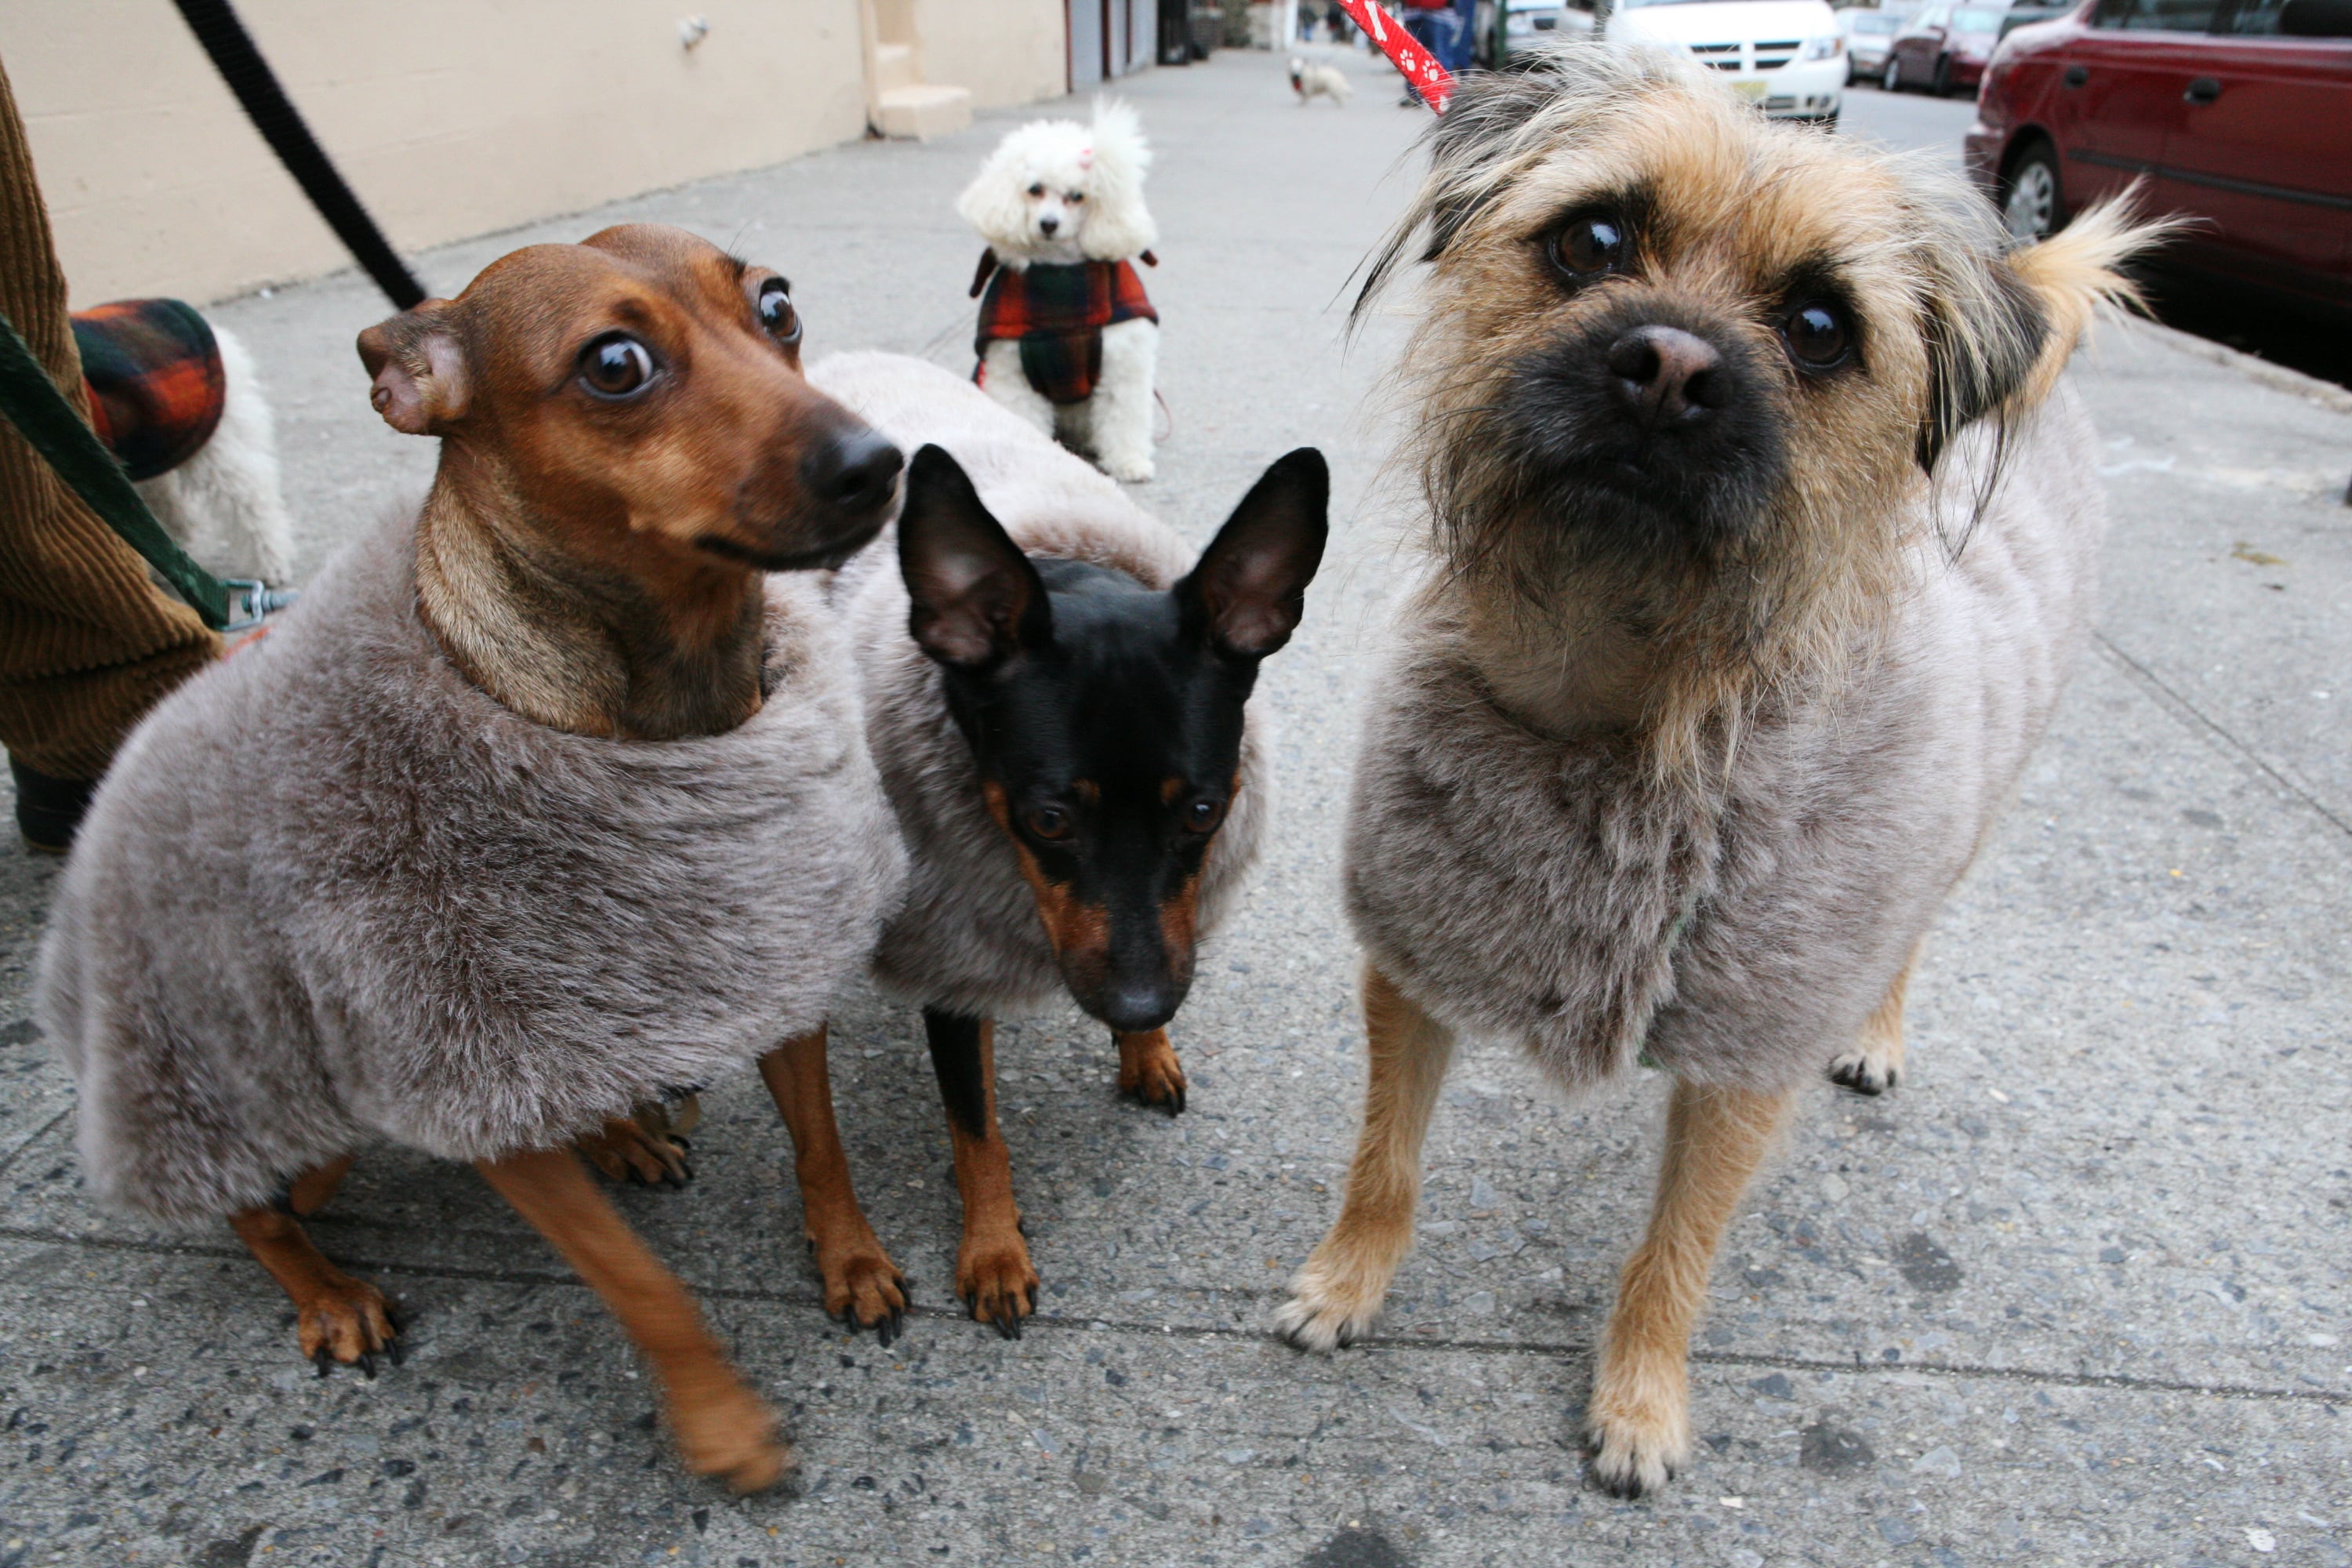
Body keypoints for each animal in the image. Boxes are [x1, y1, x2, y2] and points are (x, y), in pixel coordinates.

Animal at [757, 352, 1336, 1335]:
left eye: (1203, 811)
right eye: (1050, 819)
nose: (1141, 1003)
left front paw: (1147, 1049)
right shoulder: (951, 972)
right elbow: (977, 1130)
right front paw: (995, 1251)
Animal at [960, 100, 1162, 479]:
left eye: (1077, 196)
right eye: (1034, 189)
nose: (1049, 224)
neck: (1061, 280)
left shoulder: (1121, 366)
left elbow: (1122, 416)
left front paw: (1128, 462)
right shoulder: (1013, 373)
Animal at [1279, 45, 2154, 1495]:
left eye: (1821, 326)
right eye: (1592, 241)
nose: (1669, 368)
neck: (1634, 712)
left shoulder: (1750, 1053)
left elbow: (1677, 1248)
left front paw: (1641, 1398)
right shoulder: (1412, 959)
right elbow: (1382, 1159)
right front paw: (1347, 1283)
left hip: (1954, 827)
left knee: (1910, 938)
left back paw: (1876, 1035)